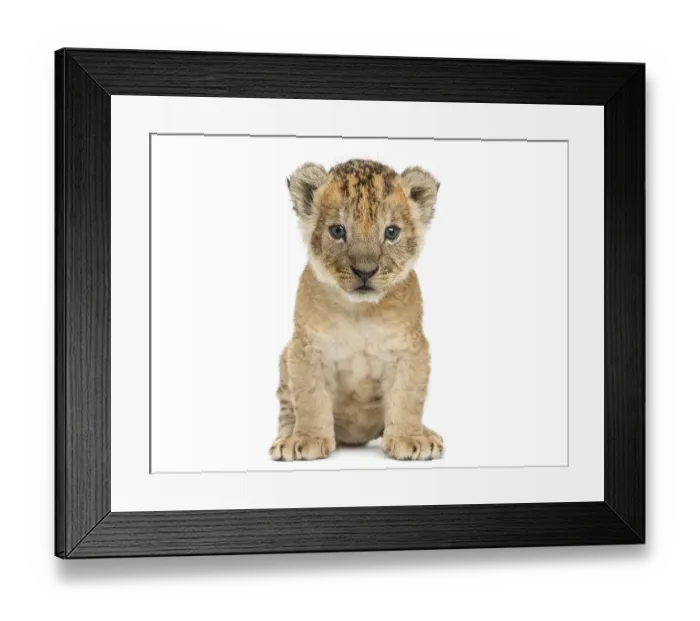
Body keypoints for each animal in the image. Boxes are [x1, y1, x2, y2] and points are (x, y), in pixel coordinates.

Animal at [269, 159, 443, 462]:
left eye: (391, 232)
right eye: (338, 231)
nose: (365, 271)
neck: (360, 312)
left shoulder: (412, 350)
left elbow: (408, 398)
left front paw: (409, 439)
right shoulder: (304, 349)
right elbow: (310, 398)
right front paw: (308, 439)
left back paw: (427, 434)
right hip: (284, 358)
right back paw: (288, 438)